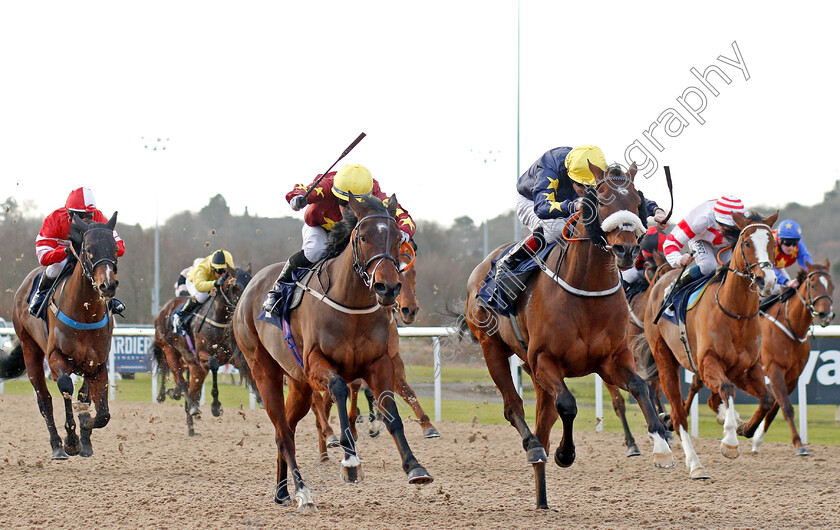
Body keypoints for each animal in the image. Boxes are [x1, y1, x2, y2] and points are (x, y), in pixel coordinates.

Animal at [8, 212, 121, 456]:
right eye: (89, 249)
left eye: (115, 248)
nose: (107, 284)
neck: (84, 314)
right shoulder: (56, 357)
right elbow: (66, 388)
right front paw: (71, 439)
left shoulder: (97, 364)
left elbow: (102, 413)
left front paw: (85, 425)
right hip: (30, 349)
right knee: (45, 399)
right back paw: (57, 446)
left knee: (82, 396)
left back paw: (85, 442)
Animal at [153, 264, 249, 434]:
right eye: (235, 286)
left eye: (251, 280)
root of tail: (163, 310)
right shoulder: (203, 354)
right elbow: (214, 365)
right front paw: (215, 406)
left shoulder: (231, 356)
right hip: (169, 350)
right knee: (180, 380)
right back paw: (190, 407)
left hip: (192, 364)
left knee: (191, 387)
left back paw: (190, 424)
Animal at [235, 194, 434, 512]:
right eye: (363, 237)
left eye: (395, 240)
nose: (388, 288)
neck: (350, 306)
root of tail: (250, 288)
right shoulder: (317, 363)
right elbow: (340, 391)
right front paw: (350, 460)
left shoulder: (380, 363)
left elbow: (391, 412)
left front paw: (414, 466)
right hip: (264, 369)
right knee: (283, 431)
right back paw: (303, 490)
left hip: (298, 384)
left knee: (286, 429)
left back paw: (282, 492)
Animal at [462, 162, 672, 508]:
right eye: (601, 199)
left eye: (637, 199)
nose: (626, 249)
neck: (587, 291)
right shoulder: (545, 360)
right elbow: (569, 405)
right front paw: (565, 453)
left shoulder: (611, 361)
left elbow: (640, 387)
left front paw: (663, 446)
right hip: (491, 346)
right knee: (514, 408)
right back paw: (534, 448)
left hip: (532, 371)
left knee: (543, 422)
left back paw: (542, 498)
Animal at [644, 210, 780, 478]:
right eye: (746, 243)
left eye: (773, 244)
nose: (766, 281)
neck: (735, 314)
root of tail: (659, 281)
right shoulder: (708, 363)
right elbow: (727, 389)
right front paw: (730, 442)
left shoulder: (746, 370)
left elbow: (768, 399)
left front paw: (744, 428)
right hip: (664, 359)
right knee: (679, 416)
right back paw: (694, 464)